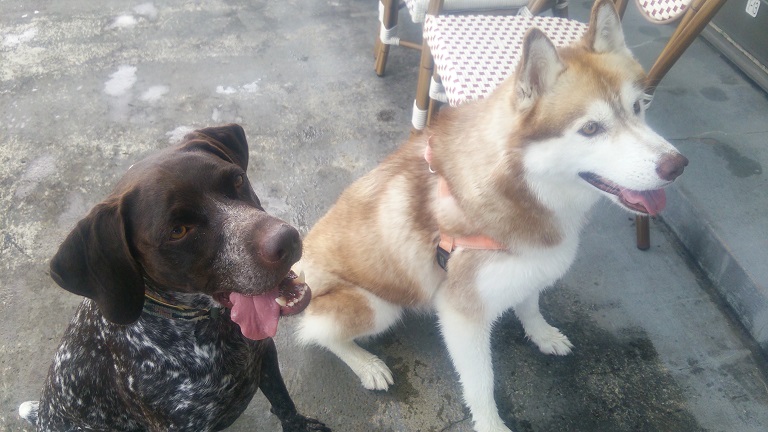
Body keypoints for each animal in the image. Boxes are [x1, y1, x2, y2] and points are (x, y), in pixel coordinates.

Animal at [18, 124, 330, 432]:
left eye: (238, 180)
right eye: (178, 231)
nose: (287, 240)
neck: (208, 326)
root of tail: (43, 414)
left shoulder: (265, 356)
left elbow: (283, 401)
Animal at [293, 1, 688, 431]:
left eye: (638, 106)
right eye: (590, 128)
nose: (677, 165)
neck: (526, 192)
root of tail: (297, 268)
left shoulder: (533, 267)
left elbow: (530, 304)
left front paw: (541, 334)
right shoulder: (462, 315)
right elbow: (481, 383)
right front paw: (490, 422)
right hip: (376, 306)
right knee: (318, 333)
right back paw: (366, 363)